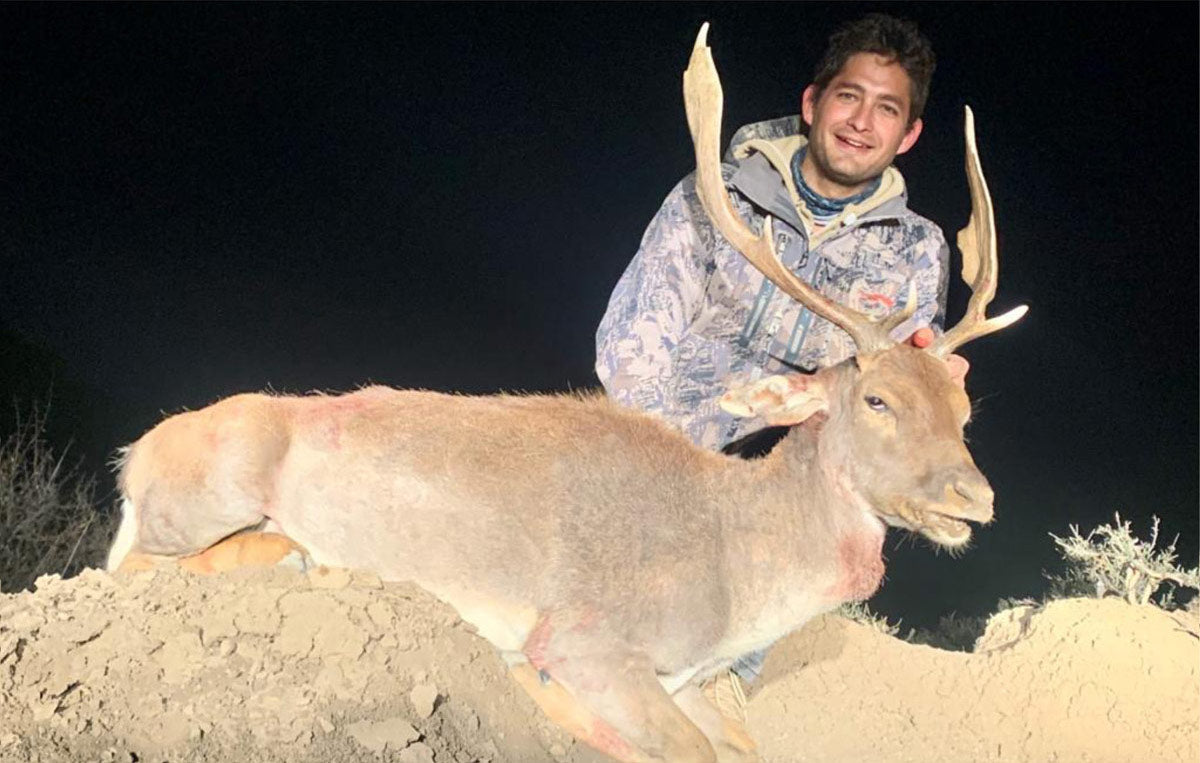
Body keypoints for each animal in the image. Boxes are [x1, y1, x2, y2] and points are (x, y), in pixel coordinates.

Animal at [104, 24, 1025, 763]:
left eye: (964, 409)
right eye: (878, 401)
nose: (975, 497)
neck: (734, 572)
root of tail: (132, 453)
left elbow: (742, 742)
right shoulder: (588, 636)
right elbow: (681, 745)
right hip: (214, 483)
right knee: (132, 565)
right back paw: (305, 560)